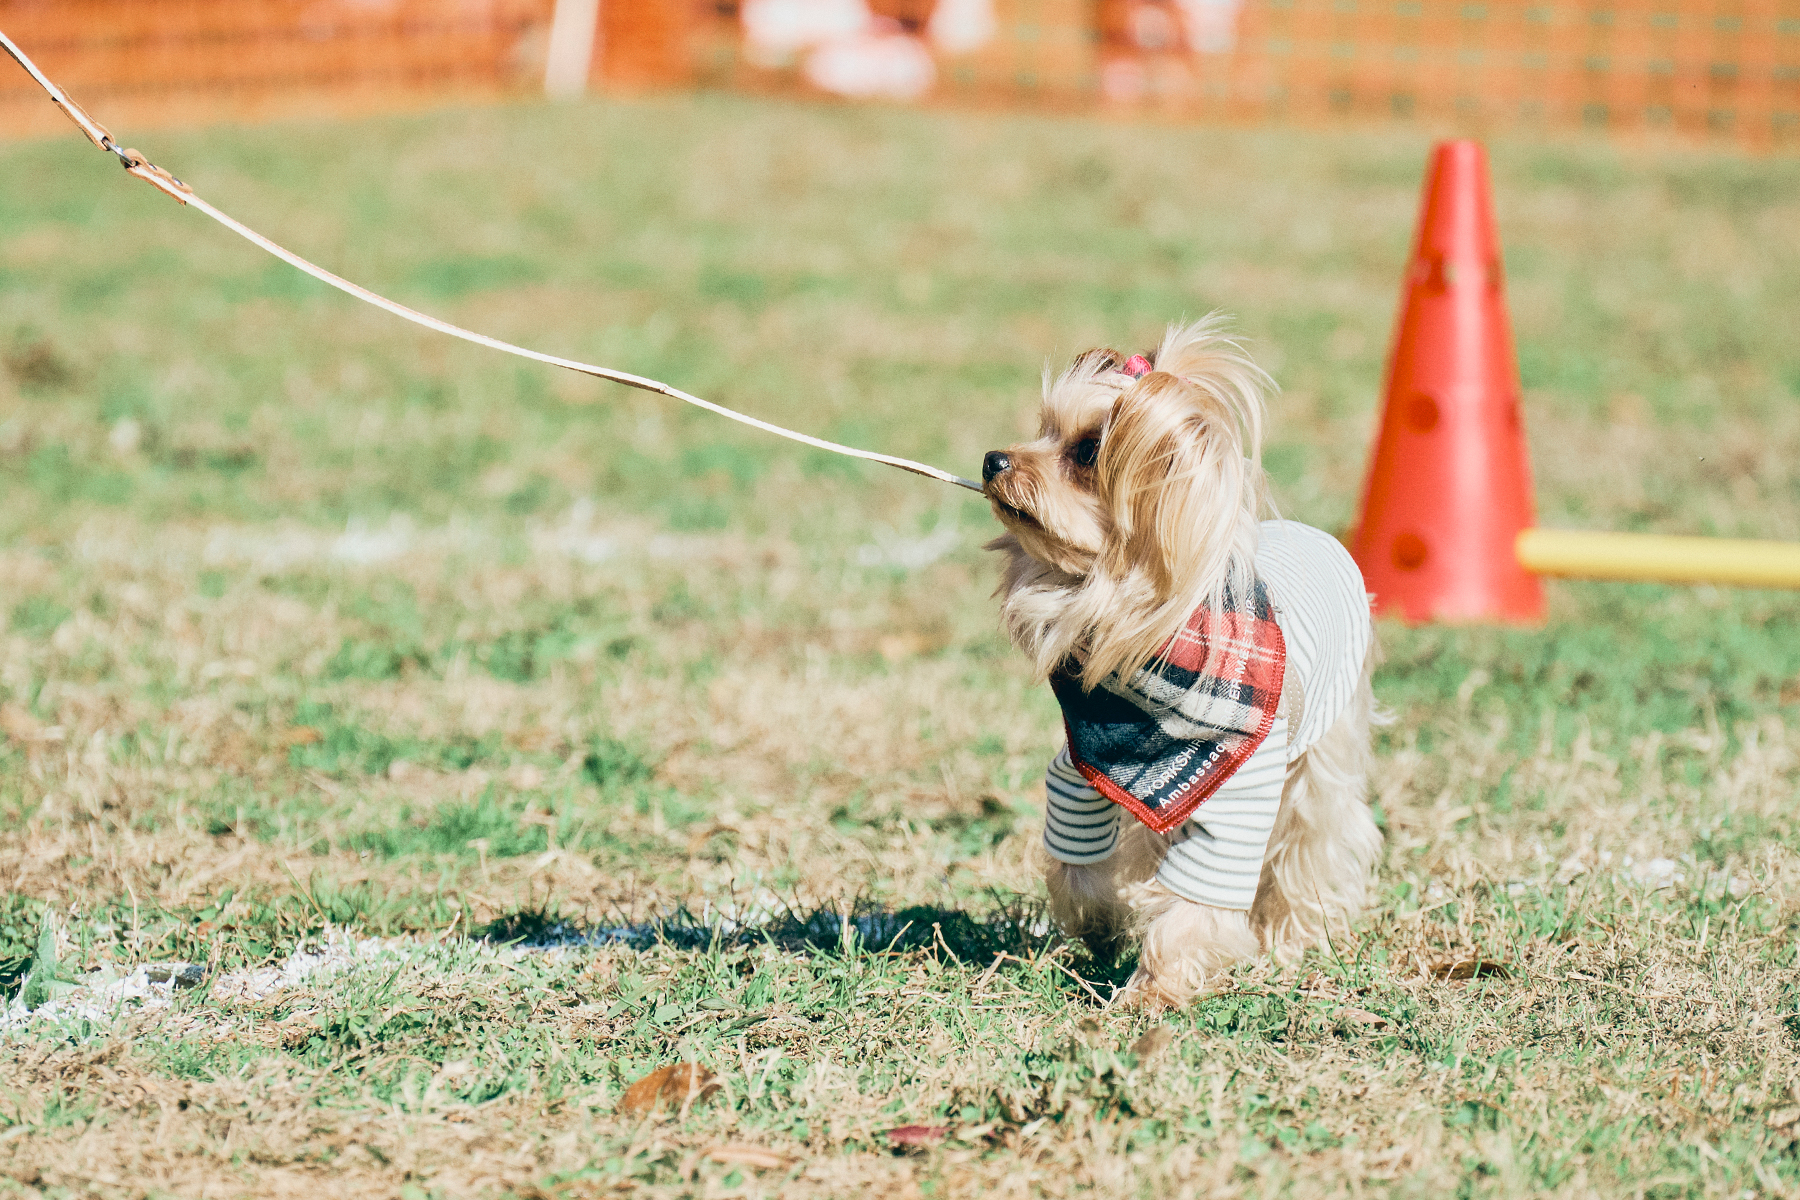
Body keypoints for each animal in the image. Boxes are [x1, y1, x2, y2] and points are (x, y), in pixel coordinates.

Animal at [986, 314, 1375, 1007]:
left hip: (1325, 750)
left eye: (1087, 453)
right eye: (1044, 430)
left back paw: (1294, 936)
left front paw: (1151, 993)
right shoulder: (1083, 774)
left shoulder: (1238, 790)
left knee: (1316, 837)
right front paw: (1101, 926)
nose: (992, 459)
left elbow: (1196, 905)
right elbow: (1079, 865)